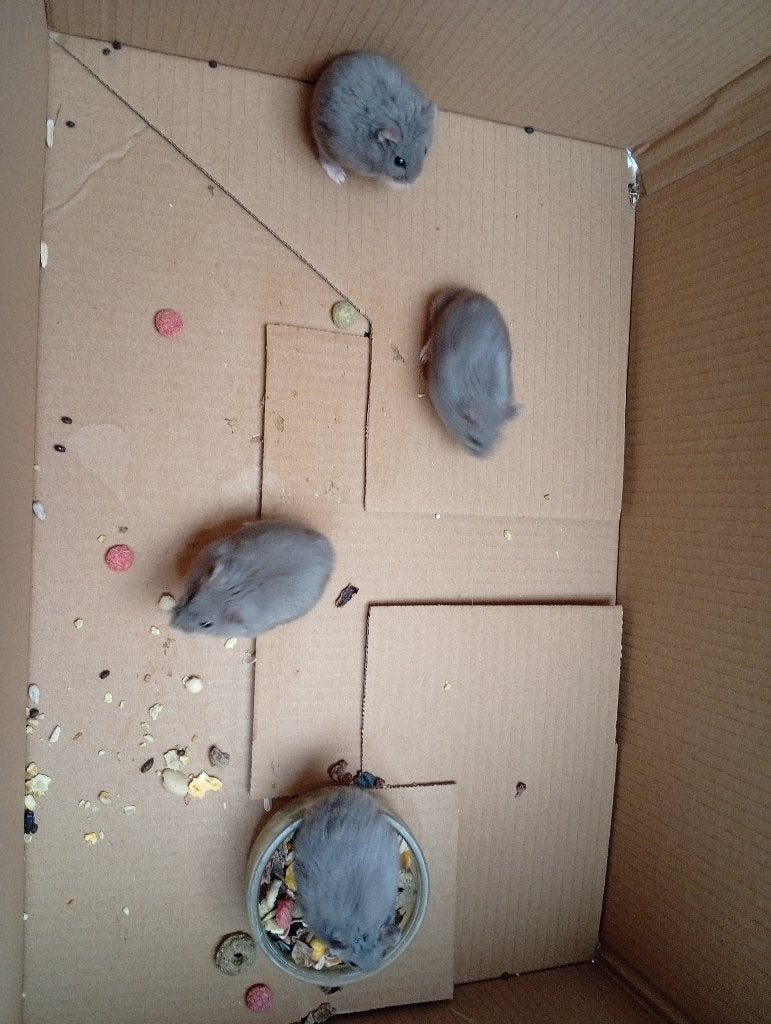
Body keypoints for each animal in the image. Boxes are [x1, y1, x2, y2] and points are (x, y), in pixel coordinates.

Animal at [310, 51, 436, 186]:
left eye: (425, 151)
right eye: (399, 161)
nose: (412, 181)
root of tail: (329, 69)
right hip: (325, 139)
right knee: (324, 156)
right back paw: (340, 178)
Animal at [420, 288, 522, 457]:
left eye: (498, 439)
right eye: (474, 440)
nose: (484, 458)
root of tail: (469, 292)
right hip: (438, 310)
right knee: (433, 328)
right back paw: (424, 354)